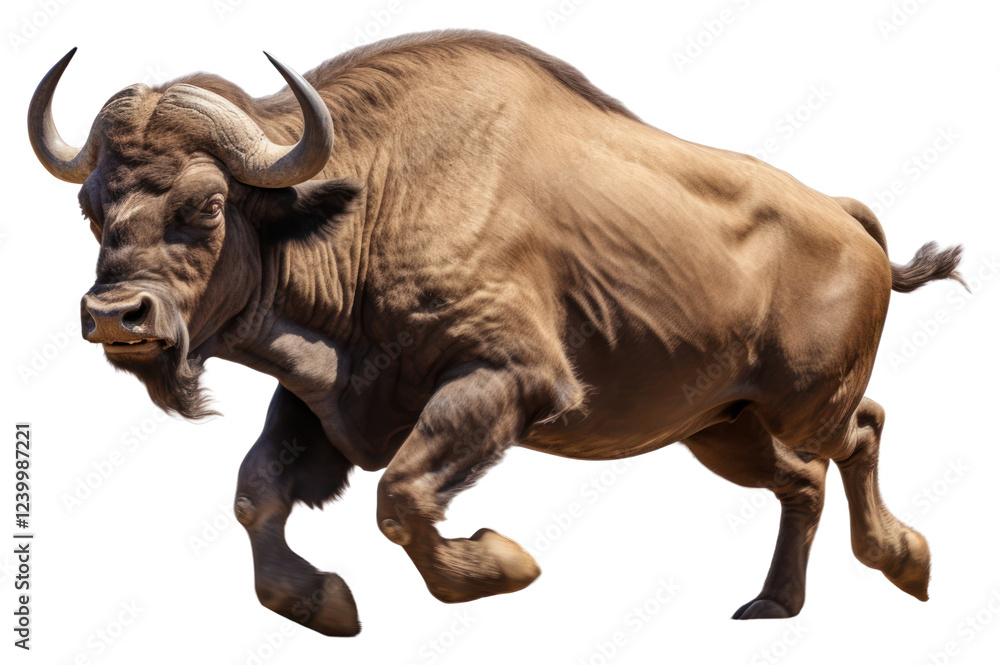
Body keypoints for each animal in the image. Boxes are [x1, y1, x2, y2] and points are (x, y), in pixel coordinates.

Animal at [28, 30, 965, 636]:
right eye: (92, 208)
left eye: (208, 202)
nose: (115, 316)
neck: (363, 201)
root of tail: (846, 219)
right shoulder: (325, 401)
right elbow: (258, 491)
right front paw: (326, 604)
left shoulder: (507, 381)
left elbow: (401, 498)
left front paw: (506, 562)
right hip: (720, 430)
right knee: (801, 479)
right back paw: (773, 605)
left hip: (800, 406)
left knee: (857, 434)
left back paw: (906, 562)